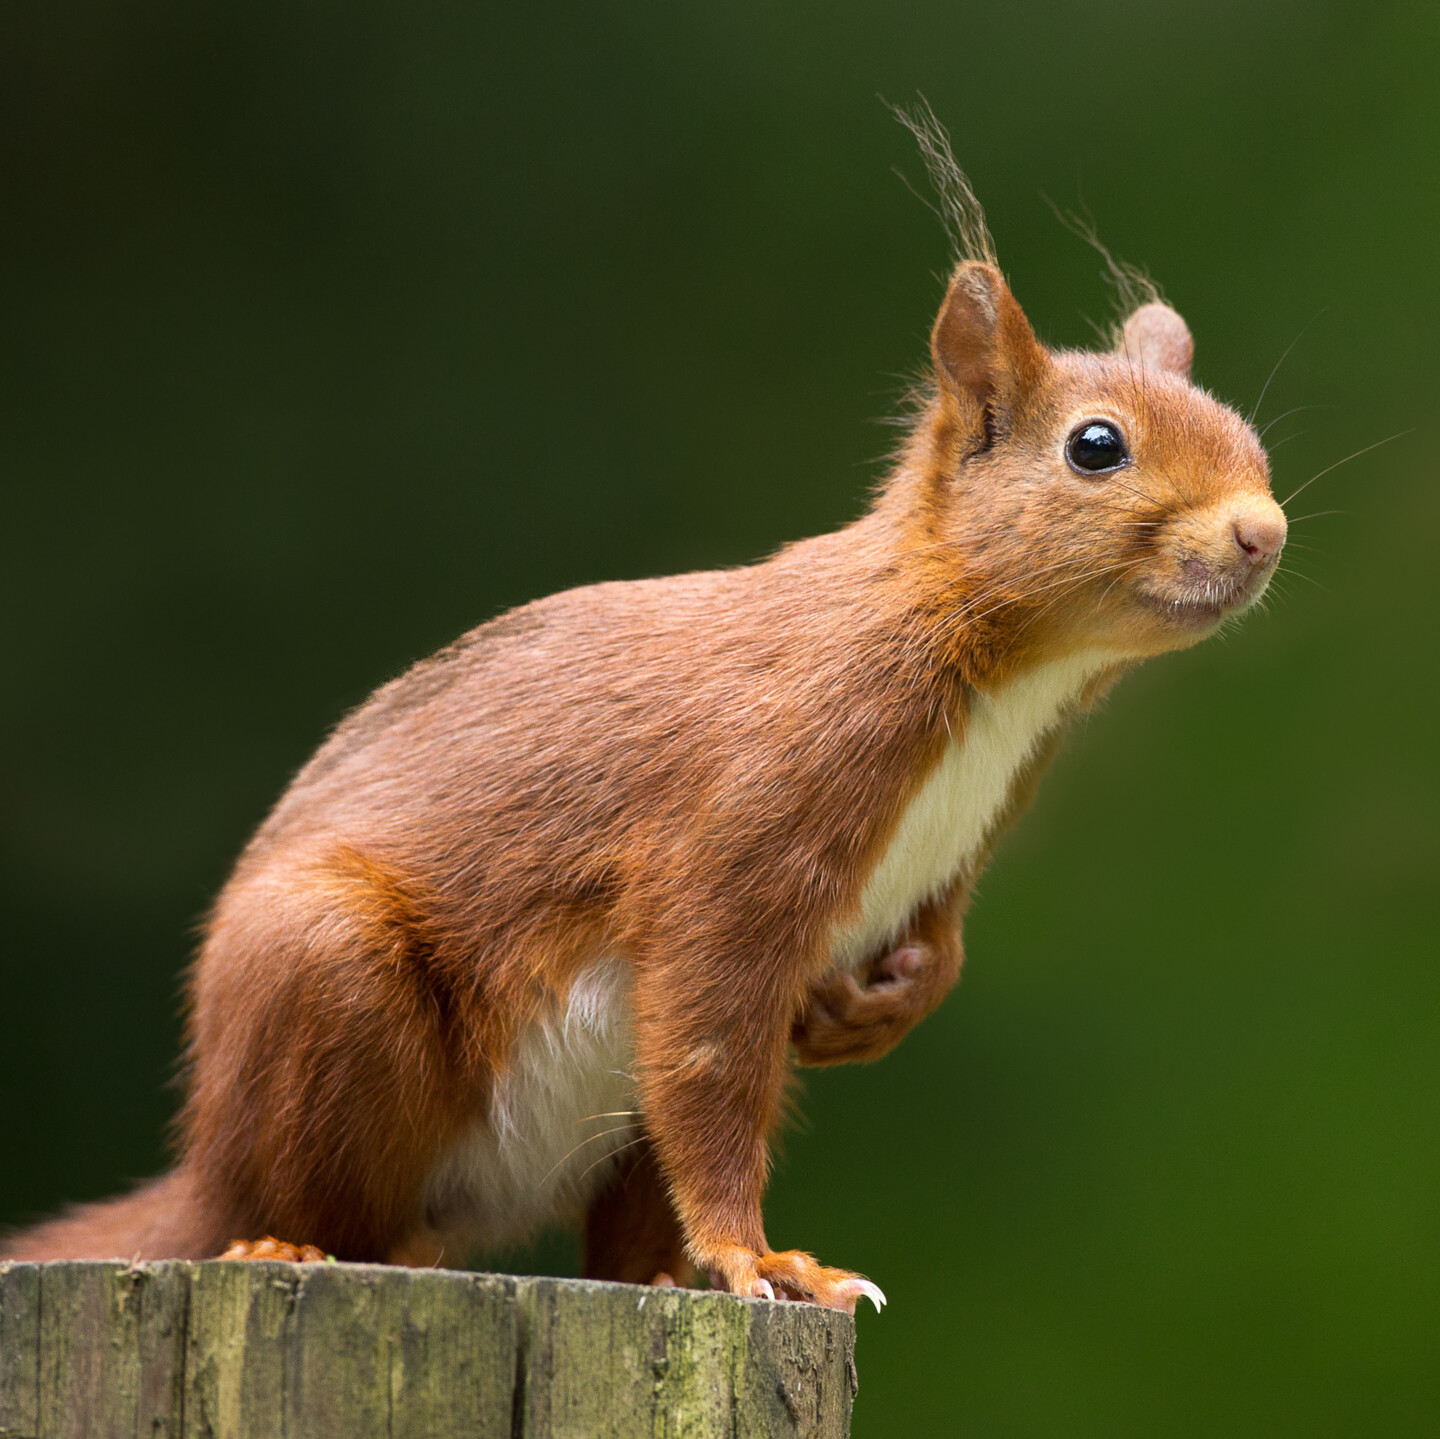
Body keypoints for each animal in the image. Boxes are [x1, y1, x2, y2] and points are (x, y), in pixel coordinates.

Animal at [2, 133, 1286, 1315]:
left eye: (1249, 437)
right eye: (1096, 445)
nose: (1263, 531)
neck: (1004, 687)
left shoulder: (957, 845)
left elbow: (931, 946)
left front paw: (884, 1005)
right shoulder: (742, 825)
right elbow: (711, 1055)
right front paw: (755, 1254)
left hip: (599, 1125)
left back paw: (663, 1275)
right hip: (319, 975)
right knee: (292, 1193)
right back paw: (288, 1243)